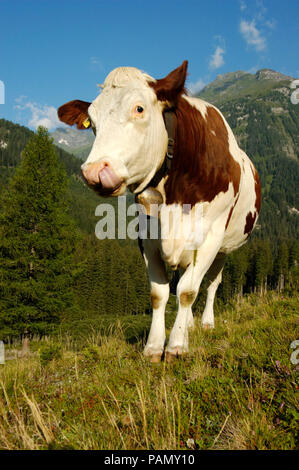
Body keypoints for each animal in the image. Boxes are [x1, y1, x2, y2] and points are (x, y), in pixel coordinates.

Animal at [57, 61, 262, 364]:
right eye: (91, 122)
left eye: (139, 109)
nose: (94, 171)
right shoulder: (148, 235)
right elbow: (160, 292)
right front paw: (154, 346)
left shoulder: (211, 234)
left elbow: (189, 290)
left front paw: (176, 345)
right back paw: (189, 325)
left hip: (225, 247)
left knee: (211, 284)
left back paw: (205, 323)